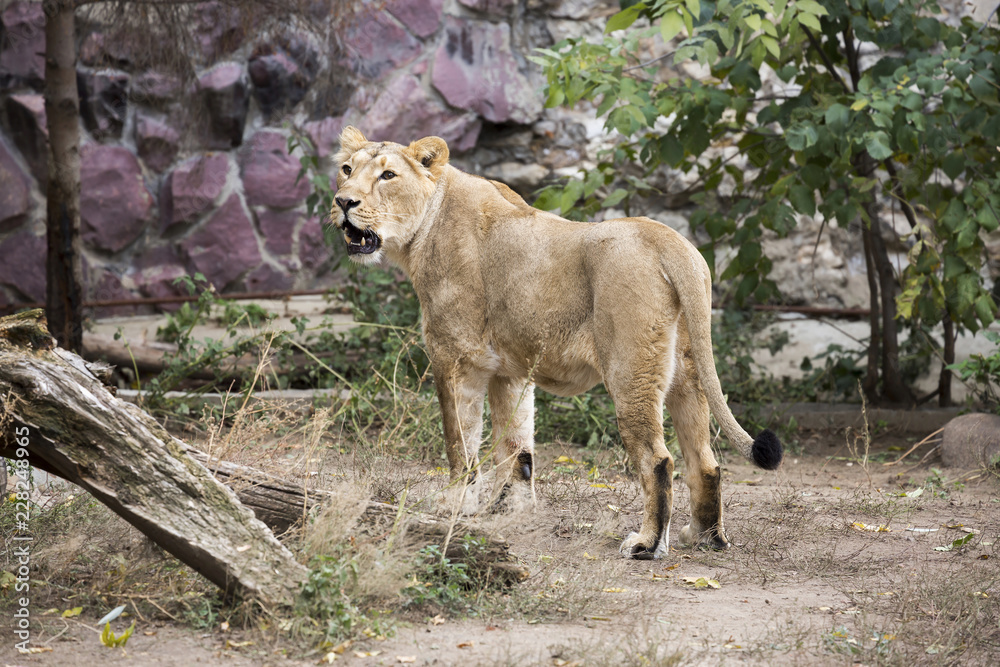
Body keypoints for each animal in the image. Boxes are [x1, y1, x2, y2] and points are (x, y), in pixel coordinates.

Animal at [331, 126, 782, 558]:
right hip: (687, 373)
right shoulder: (510, 369)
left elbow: (460, 444)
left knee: (658, 459)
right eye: (347, 170)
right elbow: (517, 445)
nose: (342, 202)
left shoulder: (455, 359)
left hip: (630, 371)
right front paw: (510, 510)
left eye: (388, 175)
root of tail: (670, 242)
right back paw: (704, 537)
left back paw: (647, 544)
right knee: (705, 462)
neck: (426, 225)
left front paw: (456, 506)